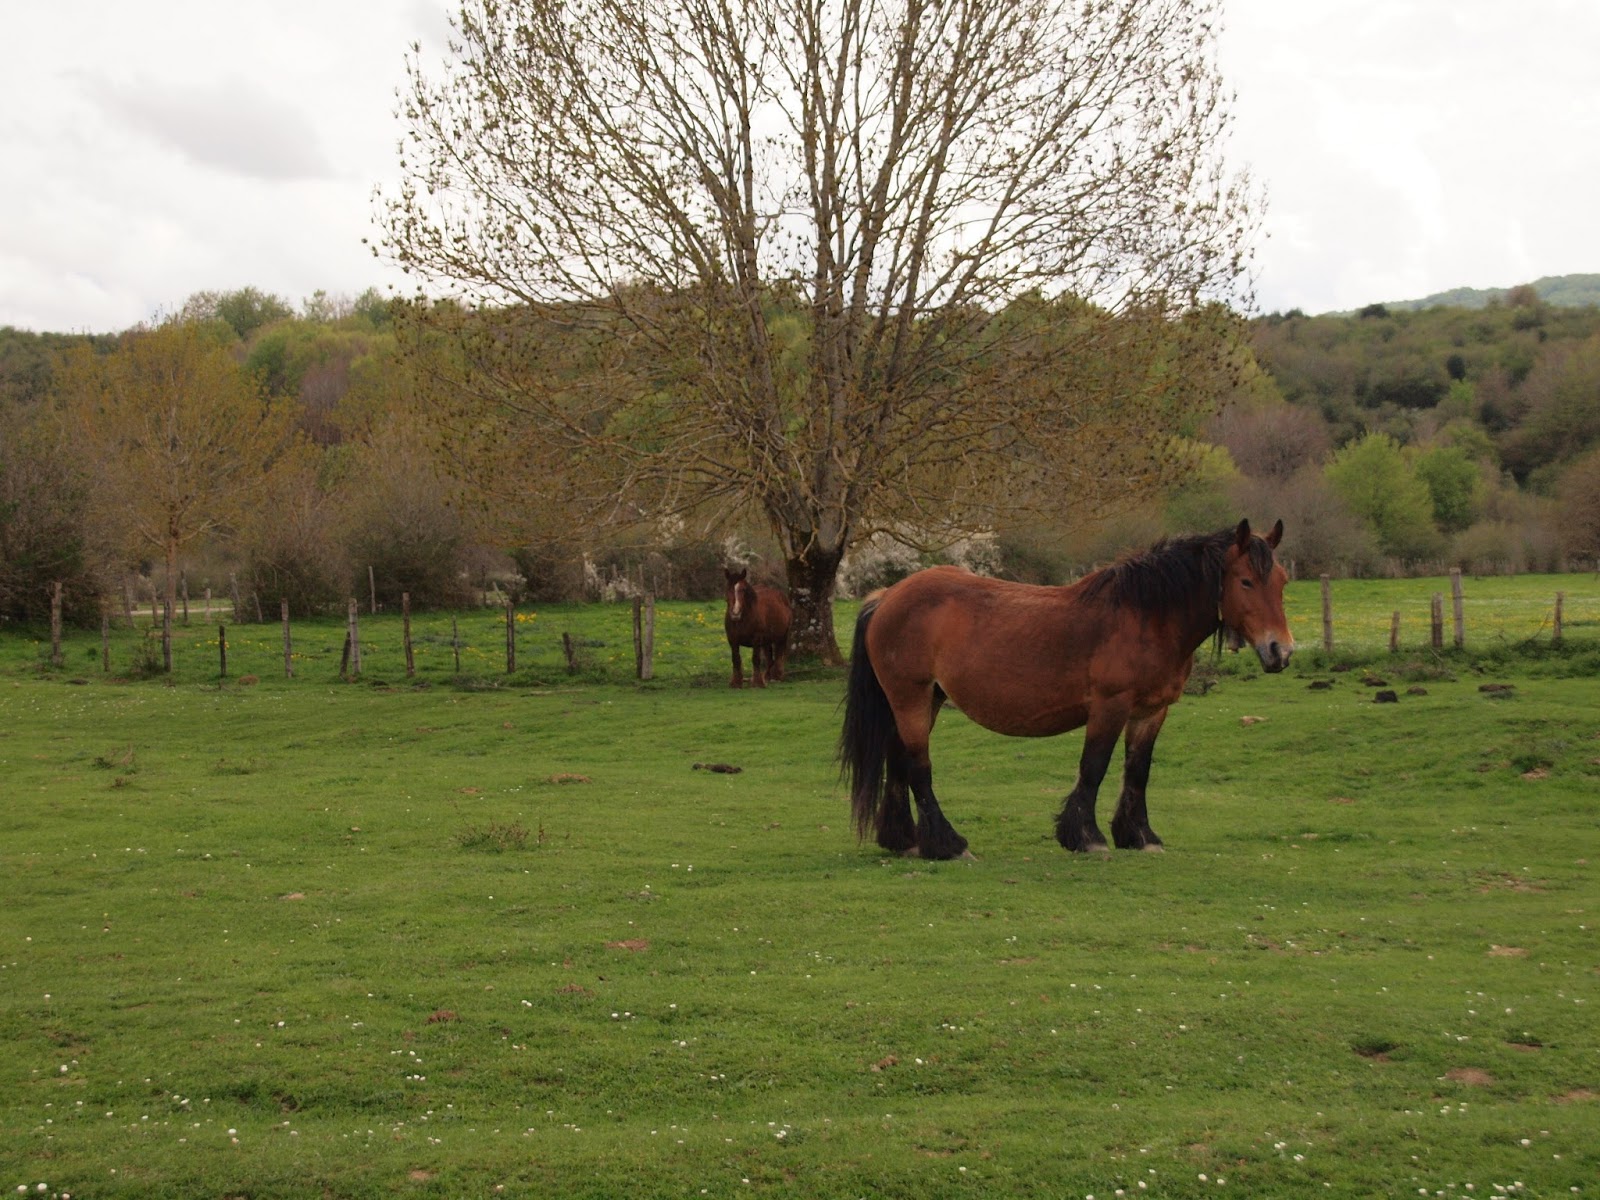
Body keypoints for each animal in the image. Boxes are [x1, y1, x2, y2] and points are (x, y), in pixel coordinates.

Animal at [838, 519, 1293, 858]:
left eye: (1283, 581)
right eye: (1246, 581)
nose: (1281, 651)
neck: (1145, 617)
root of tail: (886, 596)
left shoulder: (1151, 711)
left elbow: (1138, 771)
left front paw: (1139, 835)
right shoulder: (1110, 706)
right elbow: (1094, 767)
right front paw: (1086, 837)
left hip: (924, 699)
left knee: (898, 762)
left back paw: (905, 840)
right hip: (911, 697)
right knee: (918, 767)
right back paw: (947, 844)